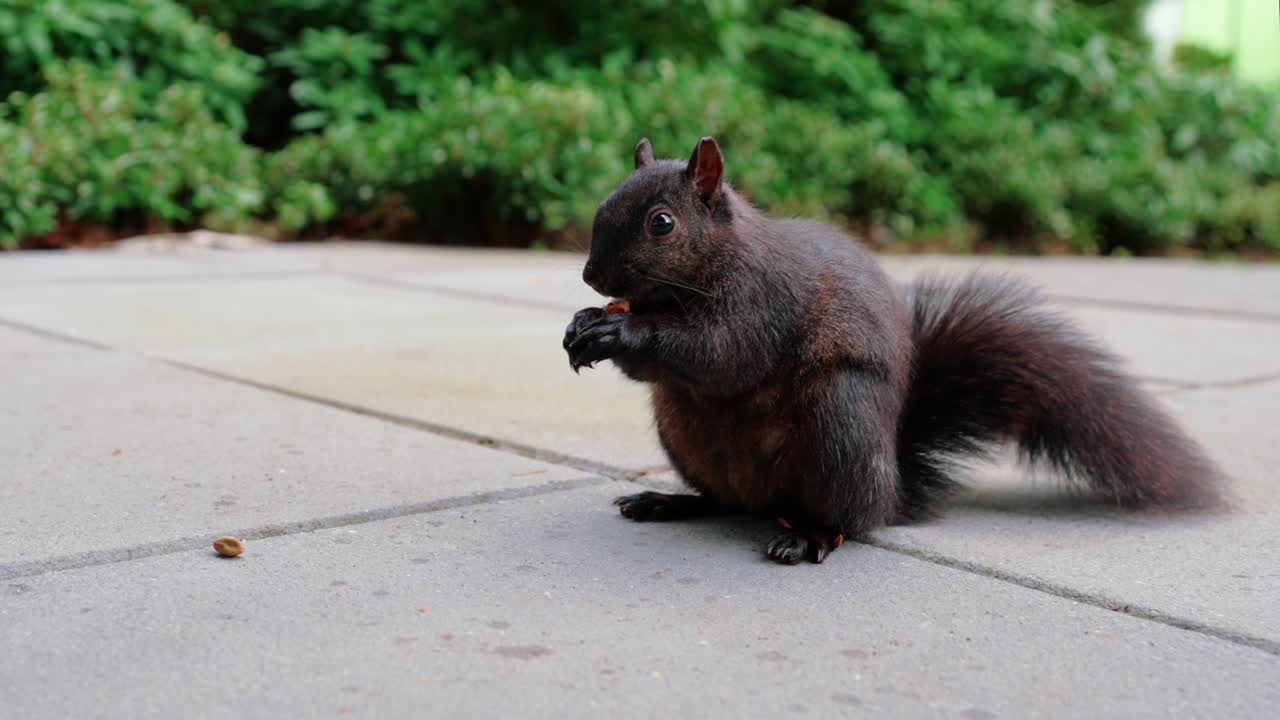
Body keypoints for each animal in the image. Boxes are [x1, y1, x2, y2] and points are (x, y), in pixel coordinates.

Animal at [562, 136, 1224, 565]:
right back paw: (668, 502)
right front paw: (582, 325)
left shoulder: (761, 301)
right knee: (725, 502)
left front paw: (620, 332)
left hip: (839, 423)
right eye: (603, 203)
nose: (593, 276)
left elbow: (722, 353)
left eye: (663, 223)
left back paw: (809, 536)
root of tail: (890, 490)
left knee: (844, 522)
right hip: (684, 431)